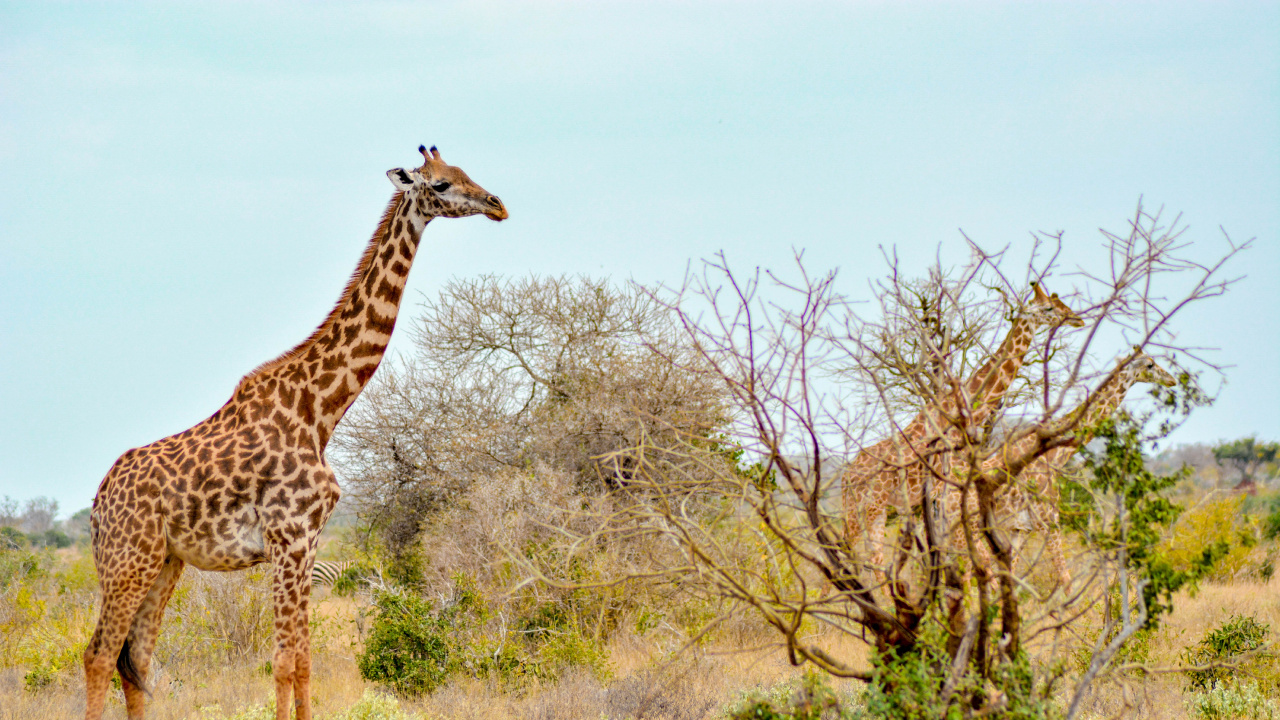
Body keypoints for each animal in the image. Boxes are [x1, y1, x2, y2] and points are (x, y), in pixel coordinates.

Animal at [83, 145, 506, 720]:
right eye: (439, 184)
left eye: (464, 172)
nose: (497, 204)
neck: (320, 410)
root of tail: (100, 499)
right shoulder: (288, 538)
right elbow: (283, 662)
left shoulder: (308, 543)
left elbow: (304, 662)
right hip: (128, 559)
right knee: (99, 655)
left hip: (165, 561)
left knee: (138, 659)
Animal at [841, 282, 1083, 568]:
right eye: (1048, 308)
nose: (1077, 318)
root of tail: (846, 476)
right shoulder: (943, 490)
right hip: (864, 508)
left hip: (874, 510)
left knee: (872, 556)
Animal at [952, 349, 1177, 589]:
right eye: (1150, 365)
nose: (1171, 380)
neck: (1055, 455)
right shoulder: (1048, 520)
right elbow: (1065, 578)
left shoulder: (1021, 529)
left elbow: (1012, 576)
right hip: (966, 530)